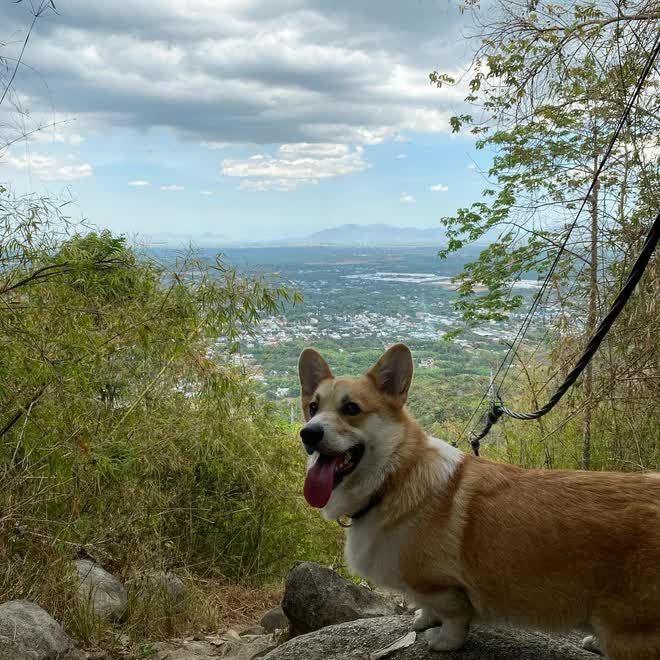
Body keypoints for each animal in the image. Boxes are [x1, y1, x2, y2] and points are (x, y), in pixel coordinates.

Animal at [298, 342, 660, 656]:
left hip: (632, 634)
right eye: (313, 408)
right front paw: (424, 619)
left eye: (351, 409)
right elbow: (427, 608)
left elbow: (454, 616)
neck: (394, 477)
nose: (308, 433)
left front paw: (443, 640)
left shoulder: (441, 586)